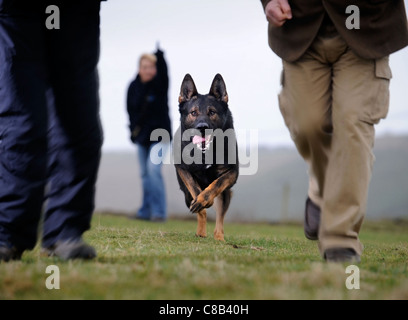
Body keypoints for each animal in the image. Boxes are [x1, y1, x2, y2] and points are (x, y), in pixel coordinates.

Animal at [175, 75, 239, 240]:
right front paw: (202, 201)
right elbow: (195, 188)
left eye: (212, 112)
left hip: (226, 195)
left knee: (220, 219)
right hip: (186, 196)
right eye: (193, 112)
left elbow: (217, 184)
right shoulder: (183, 169)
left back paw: (219, 238)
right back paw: (201, 232)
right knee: (200, 211)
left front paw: (205, 199)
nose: (202, 127)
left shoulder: (232, 173)